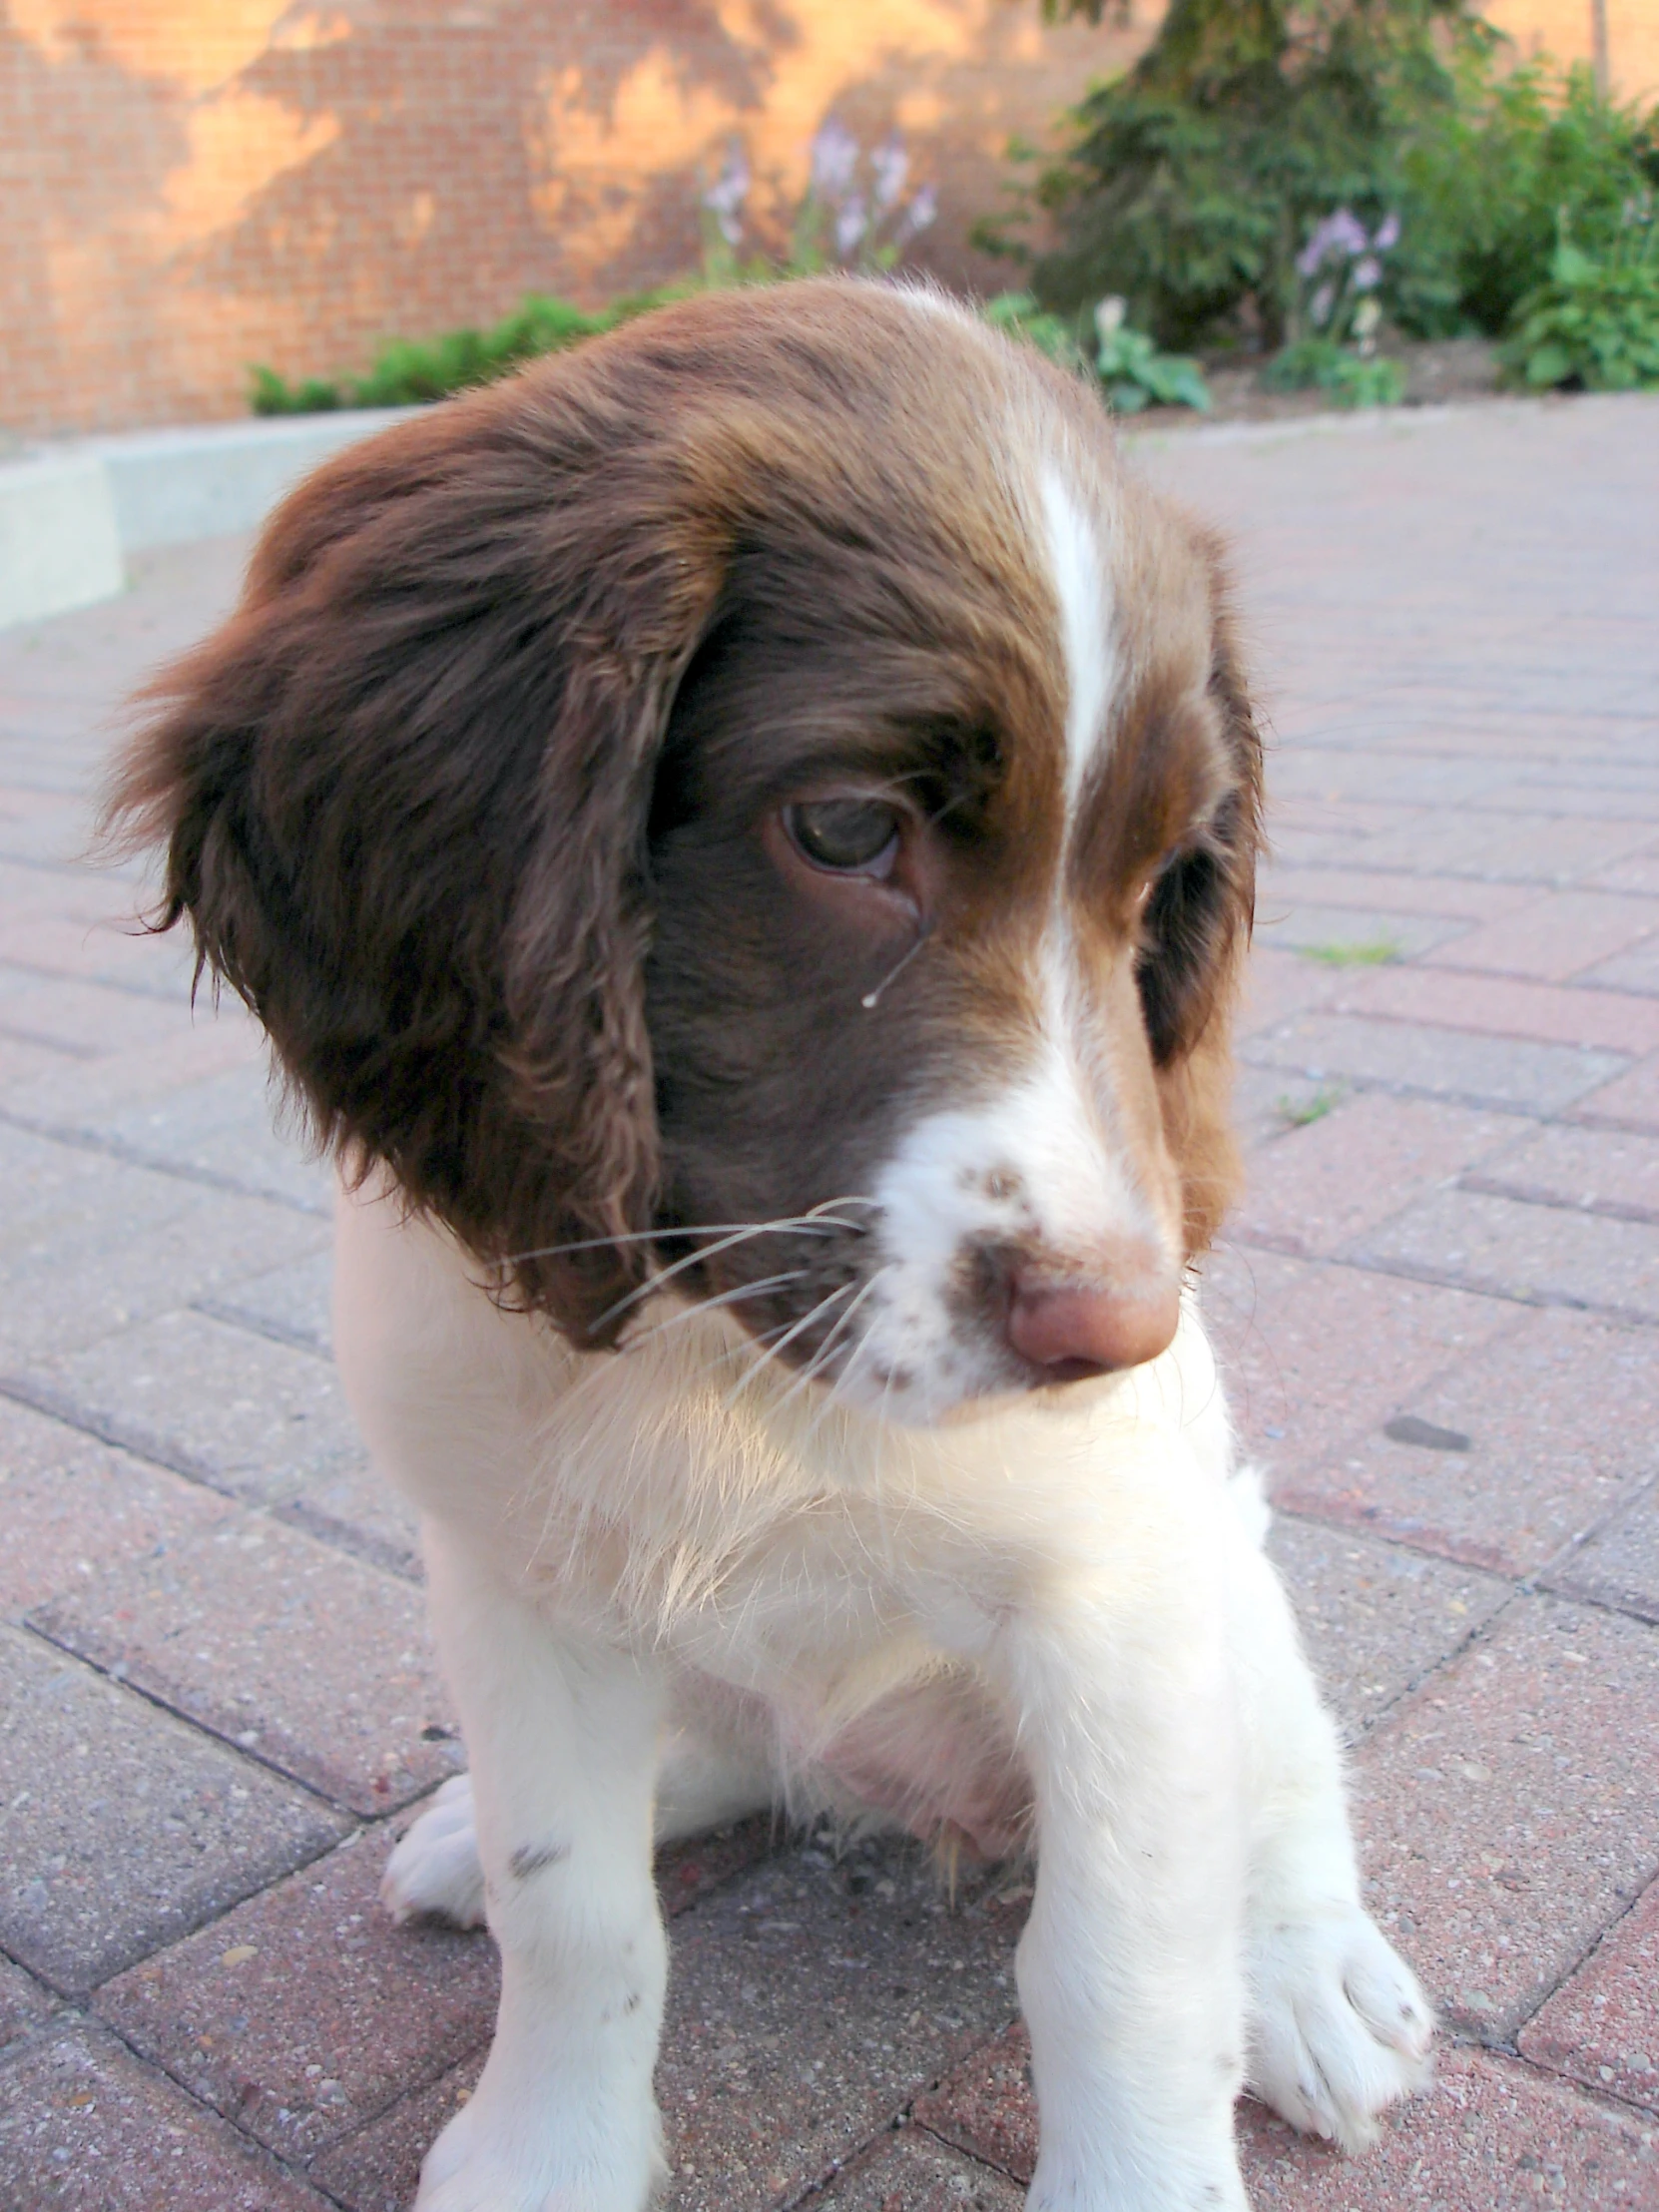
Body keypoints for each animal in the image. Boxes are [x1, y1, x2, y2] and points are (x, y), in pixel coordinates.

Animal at [107, 280, 1432, 2212]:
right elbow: (576, 1909)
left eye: (1161, 887)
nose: (1119, 1325)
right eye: (843, 830)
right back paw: (476, 1829)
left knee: (1276, 1771)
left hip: (1220, 1570)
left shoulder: (1116, 1594)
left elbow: (1119, 1963)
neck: (727, 1356)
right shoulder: (516, 1581)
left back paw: (1307, 1964)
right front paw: (545, 2155)